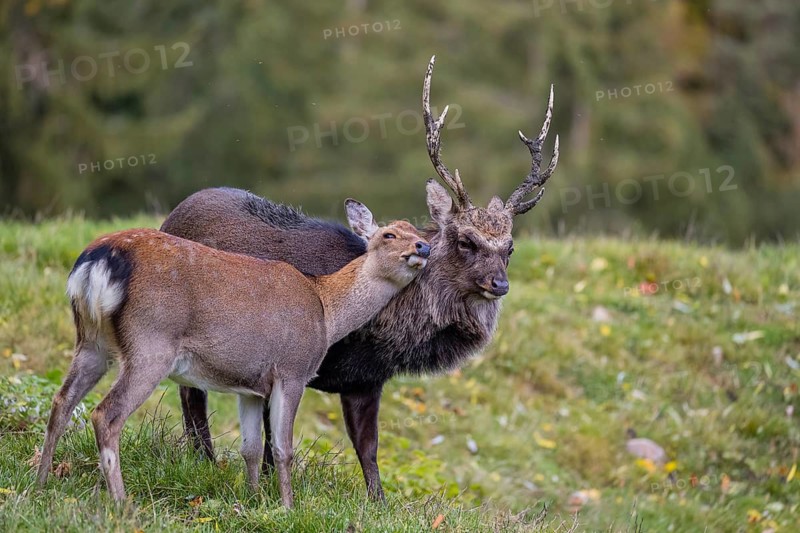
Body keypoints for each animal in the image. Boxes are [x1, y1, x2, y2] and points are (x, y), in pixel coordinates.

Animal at [36, 199, 430, 508]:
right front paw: (287, 506)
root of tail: (97, 260)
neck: (326, 309)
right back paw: (121, 503)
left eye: (415, 230)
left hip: (92, 341)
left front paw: (254, 499)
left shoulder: (250, 385)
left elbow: (251, 448)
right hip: (151, 342)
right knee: (106, 414)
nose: (423, 247)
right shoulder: (293, 368)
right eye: (389, 234)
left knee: (61, 400)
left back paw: (40, 483)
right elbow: (283, 448)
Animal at [165, 56, 560, 501]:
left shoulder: (366, 380)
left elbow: (367, 448)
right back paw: (202, 459)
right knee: (190, 395)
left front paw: (379, 502)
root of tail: (174, 212)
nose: (499, 285)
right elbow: (274, 436)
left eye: (510, 247)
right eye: (465, 240)